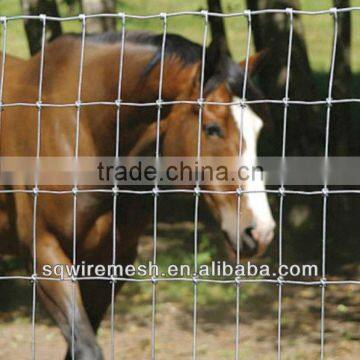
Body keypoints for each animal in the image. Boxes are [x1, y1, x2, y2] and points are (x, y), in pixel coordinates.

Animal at [0, 31, 276, 360]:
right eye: (212, 128)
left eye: (258, 129)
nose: (260, 231)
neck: (78, 130)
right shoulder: (44, 253)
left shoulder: (110, 263)